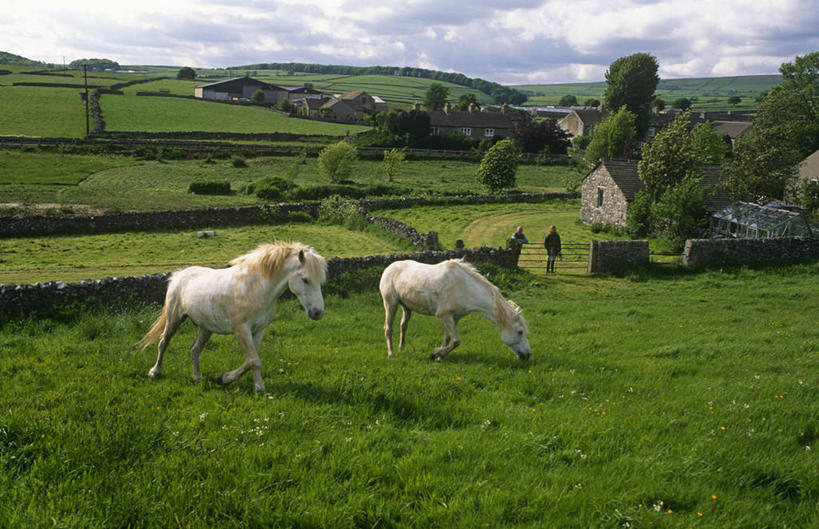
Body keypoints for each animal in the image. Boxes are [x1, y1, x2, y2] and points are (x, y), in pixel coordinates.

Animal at [140, 241, 326, 390]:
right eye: (305, 279)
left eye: (320, 281)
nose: (318, 313)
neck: (255, 287)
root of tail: (179, 275)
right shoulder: (241, 329)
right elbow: (254, 360)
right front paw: (259, 388)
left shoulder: (258, 330)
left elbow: (250, 360)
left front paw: (225, 378)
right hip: (174, 319)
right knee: (163, 342)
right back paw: (154, 372)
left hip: (206, 328)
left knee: (195, 349)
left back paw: (197, 377)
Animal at [380, 258, 532, 360]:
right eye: (520, 332)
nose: (527, 355)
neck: (464, 287)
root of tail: (389, 268)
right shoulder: (444, 315)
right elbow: (456, 340)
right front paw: (435, 353)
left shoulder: (455, 317)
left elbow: (448, 339)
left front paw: (440, 356)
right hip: (390, 303)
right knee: (388, 328)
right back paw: (391, 354)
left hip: (407, 307)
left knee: (403, 326)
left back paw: (401, 348)